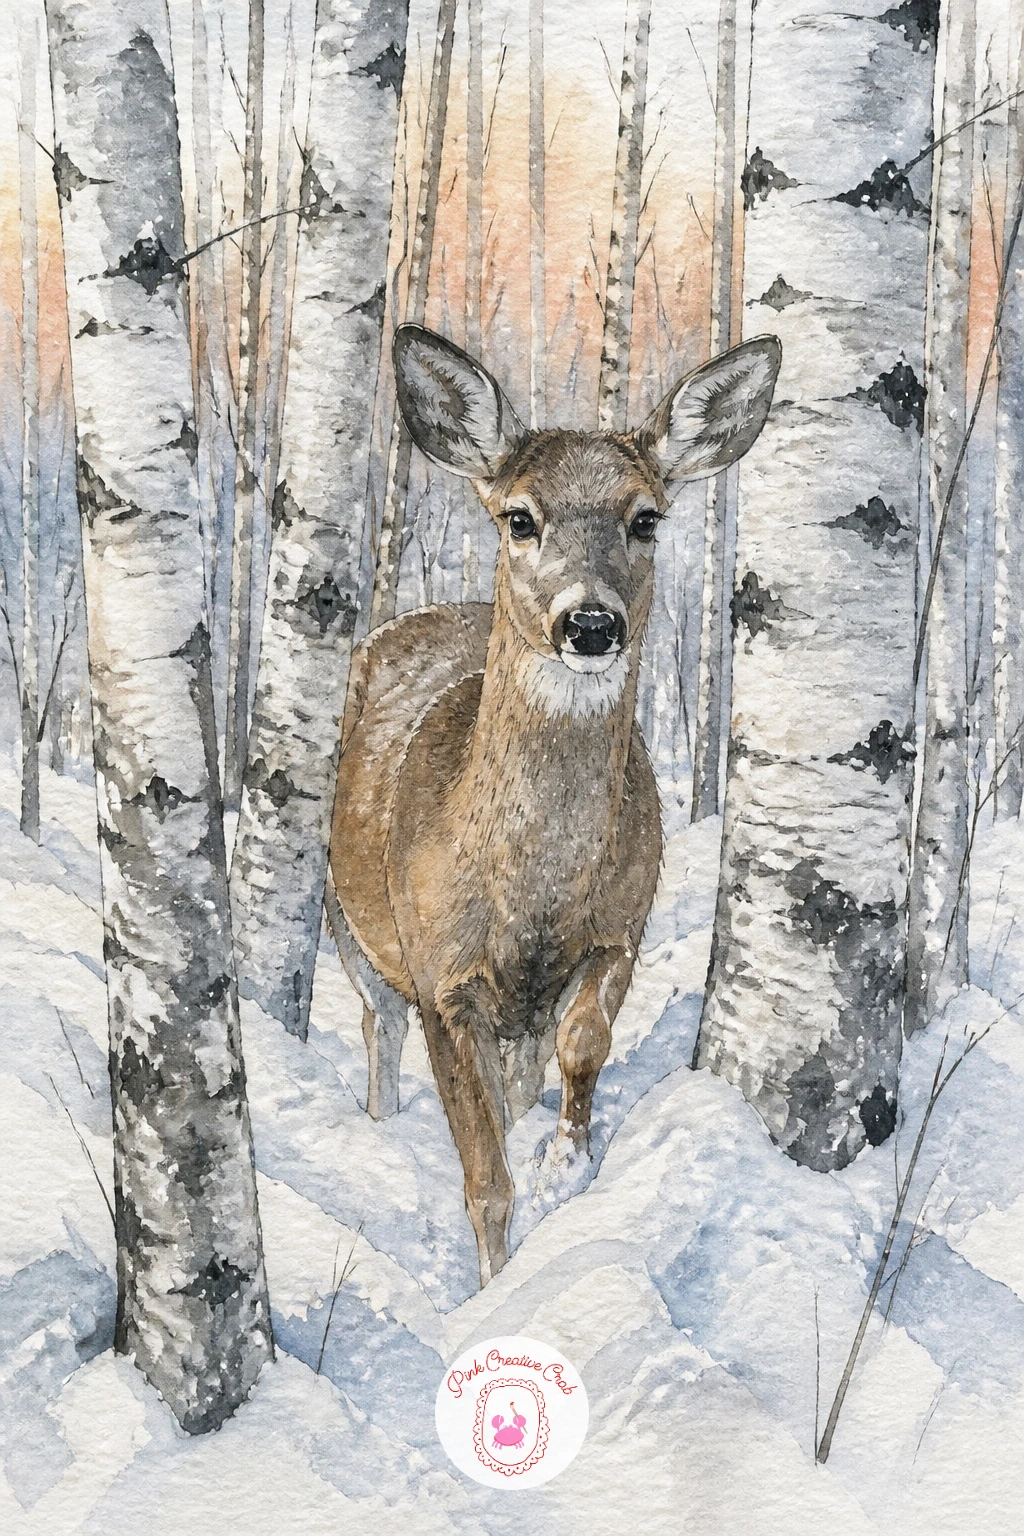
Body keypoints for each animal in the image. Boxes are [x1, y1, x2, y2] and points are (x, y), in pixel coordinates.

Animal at [327, 323, 781, 1287]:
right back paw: (382, 1126)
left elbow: (584, 1044)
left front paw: (568, 1164)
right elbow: (480, 1171)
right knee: (377, 1024)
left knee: (520, 1065)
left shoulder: (622, 925)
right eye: (519, 518)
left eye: (646, 517)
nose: (591, 623)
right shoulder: (441, 975)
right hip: (349, 923)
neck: (531, 893)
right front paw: (496, 1283)